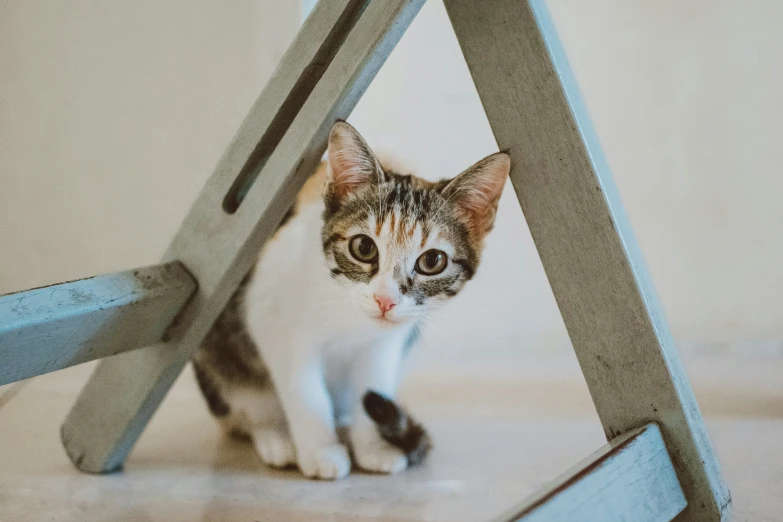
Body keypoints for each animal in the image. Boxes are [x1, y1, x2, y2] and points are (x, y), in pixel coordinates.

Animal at [191, 120, 508, 478]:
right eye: (364, 247)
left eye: (432, 261)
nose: (385, 300)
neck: (348, 313)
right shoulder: (269, 314)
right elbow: (304, 391)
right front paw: (321, 451)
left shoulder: (389, 341)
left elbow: (373, 384)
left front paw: (373, 447)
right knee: (246, 402)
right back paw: (276, 438)